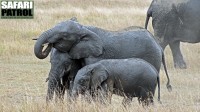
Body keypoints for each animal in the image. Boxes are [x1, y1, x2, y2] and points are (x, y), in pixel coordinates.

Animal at [34, 17, 172, 91]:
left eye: (63, 36)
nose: (48, 45)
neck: (84, 28)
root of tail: (159, 46)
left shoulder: (95, 55)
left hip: (152, 57)